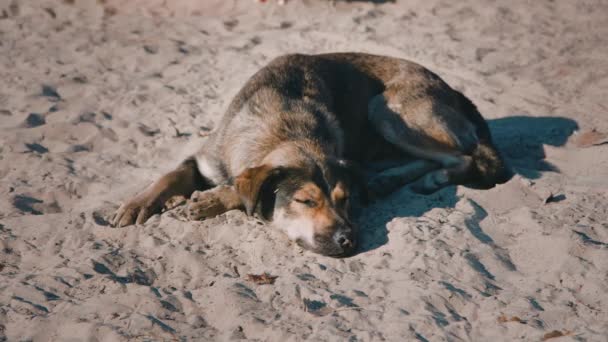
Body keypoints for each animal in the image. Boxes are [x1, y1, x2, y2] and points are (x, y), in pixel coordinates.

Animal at [111, 52, 510, 256]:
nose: (349, 241)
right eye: (305, 201)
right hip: (385, 111)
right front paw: (137, 204)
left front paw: (211, 200)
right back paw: (387, 179)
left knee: (463, 157)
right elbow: (169, 175)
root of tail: (454, 91)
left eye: (345, 200)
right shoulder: (204, 158)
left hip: (385, 108)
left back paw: (424, 179)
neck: (283, 128)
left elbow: (238, 191)